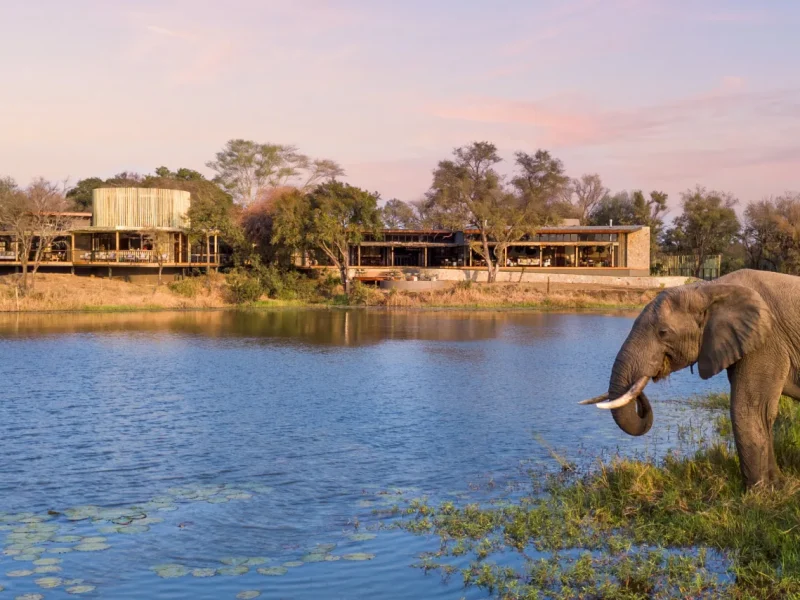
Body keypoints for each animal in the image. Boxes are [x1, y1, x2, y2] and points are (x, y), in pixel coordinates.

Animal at [578, 269, 800, 489]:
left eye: (663, 332)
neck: (710, 288)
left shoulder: (767, 343)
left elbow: (751, 409)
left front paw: (761, 491)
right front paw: (777, 485)